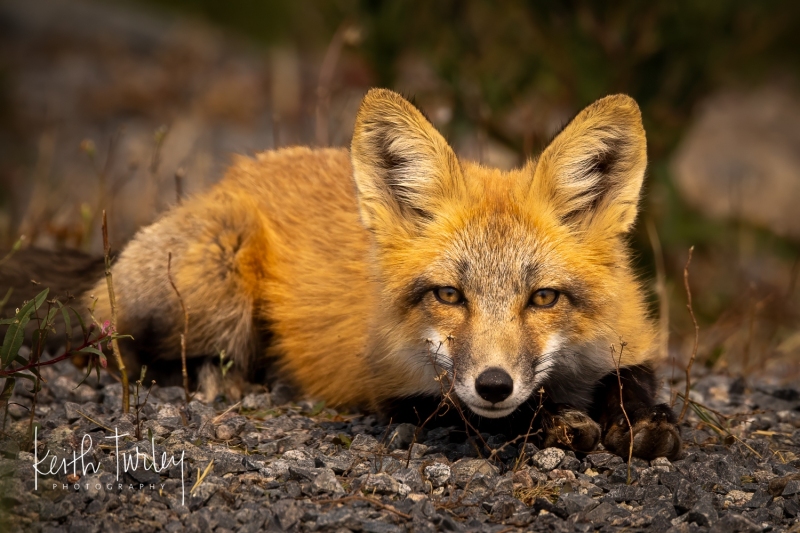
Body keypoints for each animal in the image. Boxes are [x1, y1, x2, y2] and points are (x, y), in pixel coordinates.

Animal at [1, 89, 681, 459]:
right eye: (449, 295)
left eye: (543, 298)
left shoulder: (628, 340)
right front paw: (560, 423)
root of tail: (232, 176)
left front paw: (642, 423)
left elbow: (633, 384)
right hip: (216, 273)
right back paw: (224, 379)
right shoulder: (395, 388)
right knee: (120, 351)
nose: (493, 384)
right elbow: (495, 414)